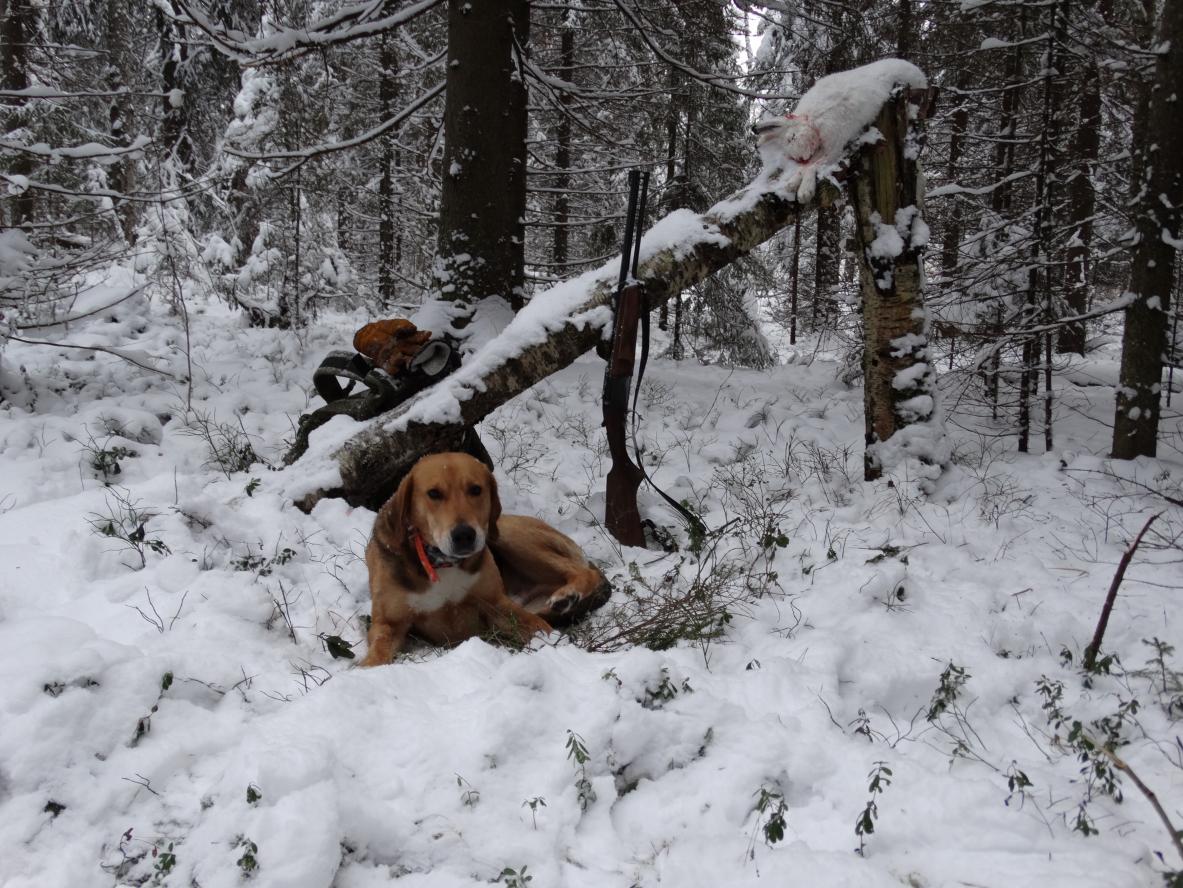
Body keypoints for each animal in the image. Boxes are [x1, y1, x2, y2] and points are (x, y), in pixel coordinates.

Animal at [361, 451, 610, 666]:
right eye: (433, 493)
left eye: (475, 489)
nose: (464, 535)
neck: (442, 561)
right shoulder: (388, 624)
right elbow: (377, 654)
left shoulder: (496, 604)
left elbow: (540, 628)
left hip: (506, 535)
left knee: (583, 572)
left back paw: (568, 594)